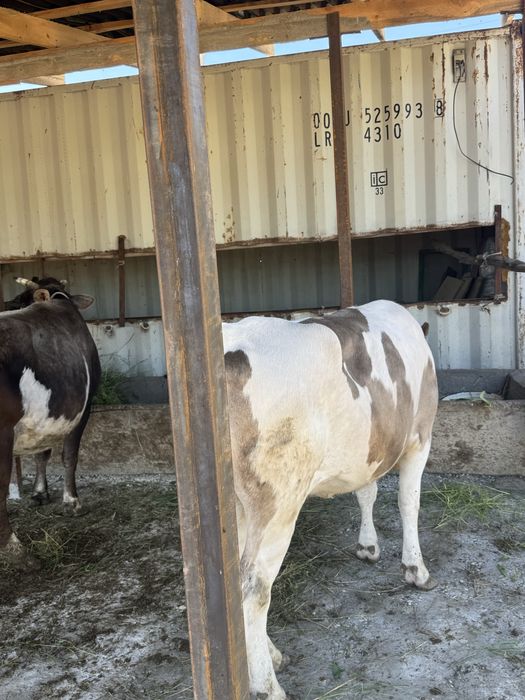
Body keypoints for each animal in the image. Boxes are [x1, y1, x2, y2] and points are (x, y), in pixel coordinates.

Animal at [0, 277, 101, 570]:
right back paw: (17, 550)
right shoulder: (84, 408)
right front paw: (72, 501)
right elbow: (69, 456)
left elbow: (41, 454)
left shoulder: (45, 418)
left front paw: (39, 493)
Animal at [223, 299, 438, 700]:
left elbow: (367, 492)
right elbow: (409, 502)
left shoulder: (368, 452)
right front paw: (416, 569)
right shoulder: (420, 436)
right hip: (278, 502)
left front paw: (368, 546)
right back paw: (268, 685)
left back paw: (270, 656)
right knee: (254, 589)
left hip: (237, 507)